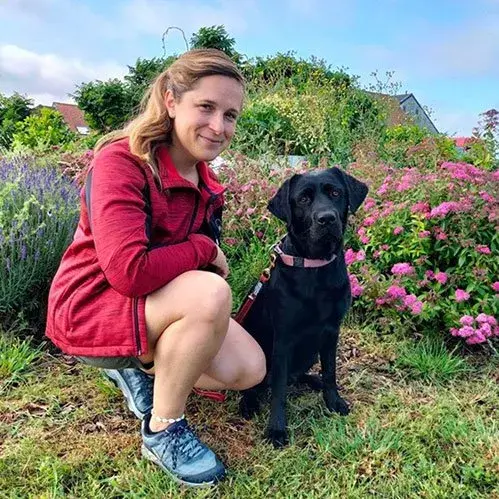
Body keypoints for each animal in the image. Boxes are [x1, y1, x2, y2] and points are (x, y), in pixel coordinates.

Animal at [239, 166, 368, 448]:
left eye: (335, 193)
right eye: (303, 199)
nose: (327, 219)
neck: (315, 266)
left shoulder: (331, 332)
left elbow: (330, 372)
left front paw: (333, 401)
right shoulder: (283, 339)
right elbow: (278, 390)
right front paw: (276, 429)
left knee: (298, 375)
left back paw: (313, 381)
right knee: (259, 384)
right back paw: (248, 403)